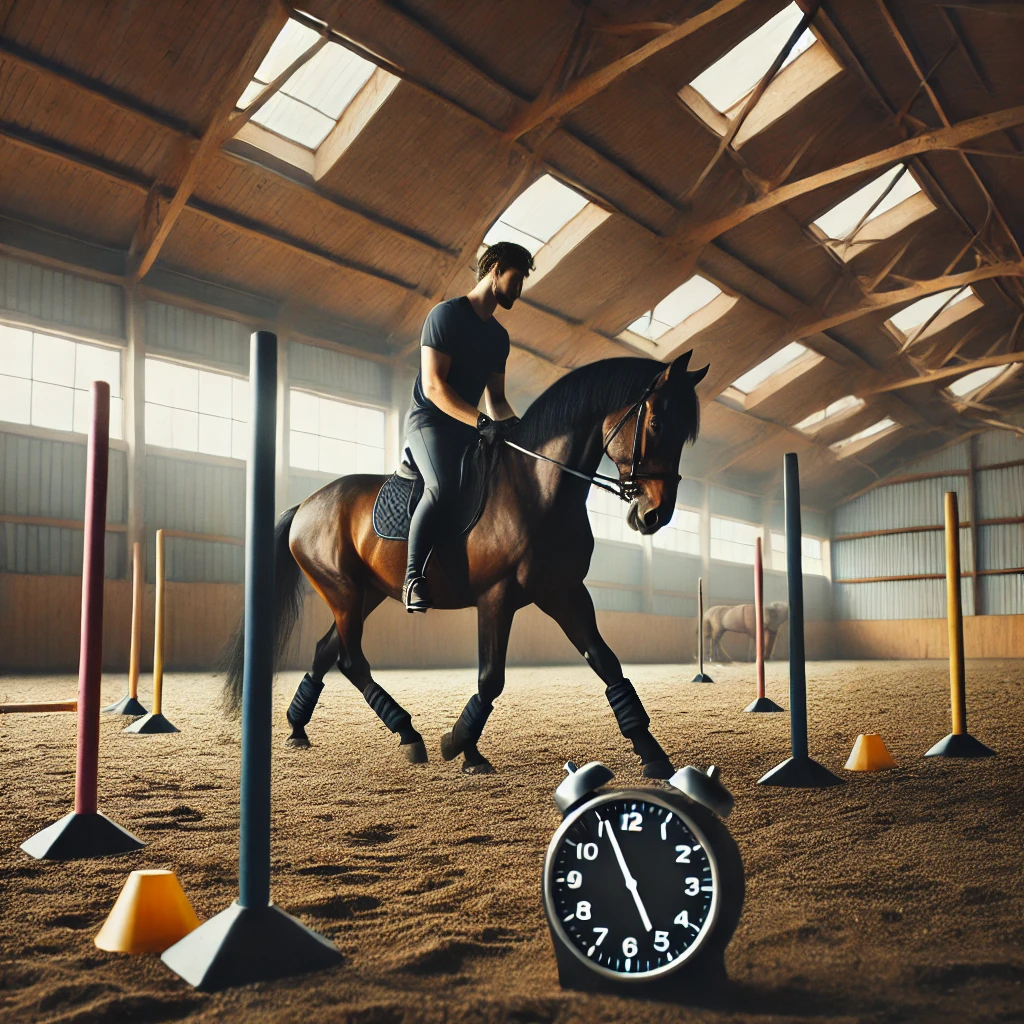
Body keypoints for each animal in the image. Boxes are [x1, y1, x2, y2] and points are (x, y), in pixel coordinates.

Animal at [223, 352, 704, 774]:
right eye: (657, 423)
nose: (655, 515)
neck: (538, 487)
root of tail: (306, 505)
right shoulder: (497, 596)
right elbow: (491, 678)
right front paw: (461, 746)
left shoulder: (563, 591)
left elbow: (606, 662)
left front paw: (652, 753)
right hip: (341, 590)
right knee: (350, 659)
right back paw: (407, 733)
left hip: (366, 593)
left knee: (327, 650)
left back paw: (298, 728)